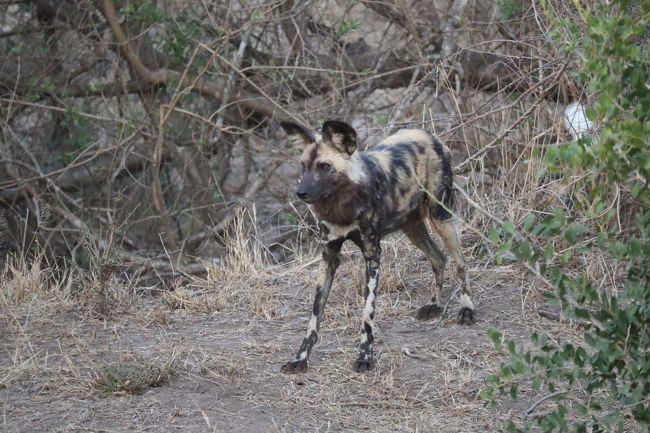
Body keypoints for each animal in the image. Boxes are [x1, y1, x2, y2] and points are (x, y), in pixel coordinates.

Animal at [278, 119, 470, 372]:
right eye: (304, 166)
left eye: (324, 166)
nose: (300, 193)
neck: (342, 206)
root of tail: (428, 134)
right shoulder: (329, 255)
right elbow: (315, 314)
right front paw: (300, 358)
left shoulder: (372, 254)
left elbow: (367, 313)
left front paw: (365, 356)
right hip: (411, 227)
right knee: (438, 257)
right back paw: (434, 305)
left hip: (441, 217)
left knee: (459, 263)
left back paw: (467, 310)